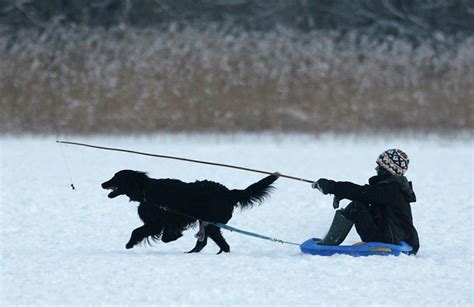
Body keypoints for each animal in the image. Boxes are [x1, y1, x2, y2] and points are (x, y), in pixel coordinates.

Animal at [100, 170, 278, 254]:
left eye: (116, 177)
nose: (102, 184)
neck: (146, 191)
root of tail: (230, 193)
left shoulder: (161, 221)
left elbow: (151, 234)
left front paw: (174, 236)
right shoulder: (155, 223)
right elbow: (138, 231)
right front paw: (130, 244)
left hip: (211, 223)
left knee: (220, 244)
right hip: (207, 223)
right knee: (210, 243)